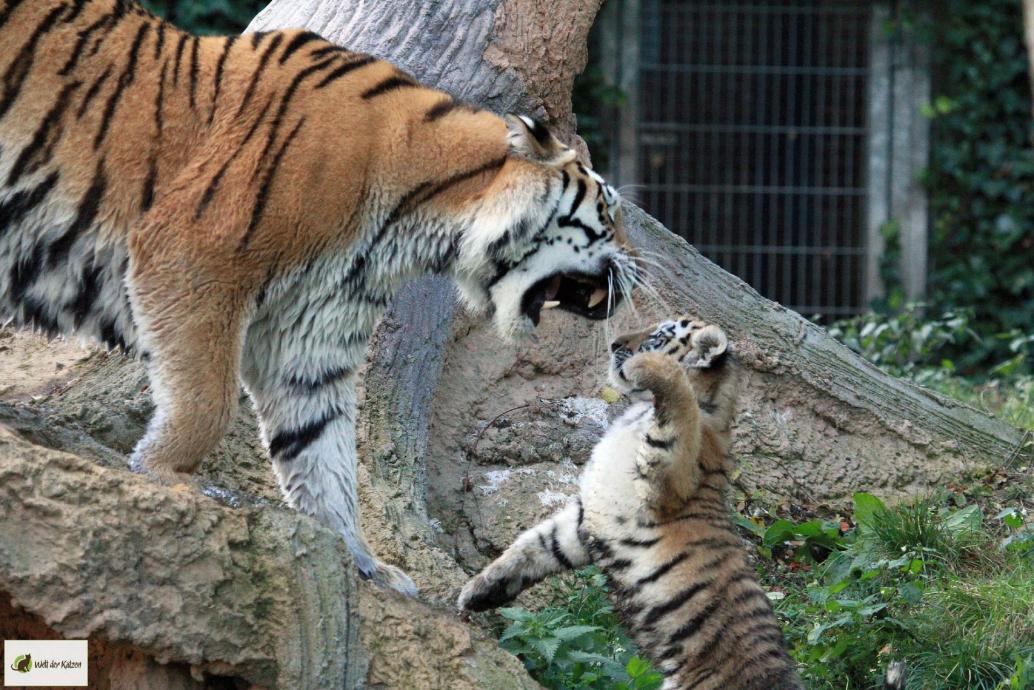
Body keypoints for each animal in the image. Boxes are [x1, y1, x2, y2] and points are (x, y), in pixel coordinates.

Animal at [0, 0, 636, 595]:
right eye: (608, 210)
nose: (635, 265)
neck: (418, 223)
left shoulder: (309, 335)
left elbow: (322, 451)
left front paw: (363, 560)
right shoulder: (190, 257)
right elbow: (209, 399)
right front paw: (168, 473)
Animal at [458, 318, 806, 689]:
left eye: (658, 336)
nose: (613, 344)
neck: (637, 411)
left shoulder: (669, 479)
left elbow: (680, 401)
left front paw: (648, 366)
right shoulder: (586, 517)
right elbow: (532, 546)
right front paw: (478, 590)